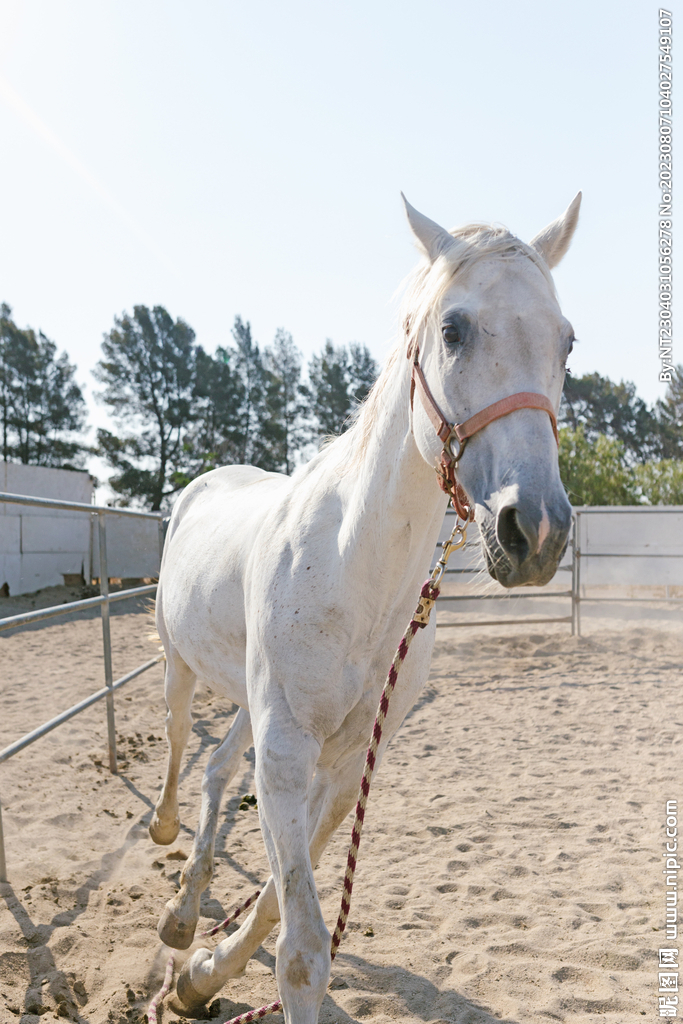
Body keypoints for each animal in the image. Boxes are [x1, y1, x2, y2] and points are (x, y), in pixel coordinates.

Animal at [149, 192, 581, 1023]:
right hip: (182, 668)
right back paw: (164, 850)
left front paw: (202, 976)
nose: (536, 529)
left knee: (217, 772)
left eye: (566, 341)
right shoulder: (286, 749)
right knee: (184, 749)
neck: (353, 572)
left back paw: (186, 916)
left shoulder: (346, 763)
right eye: (452, 329)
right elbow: (302, 948)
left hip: (248, 701)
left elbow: (277, 906)